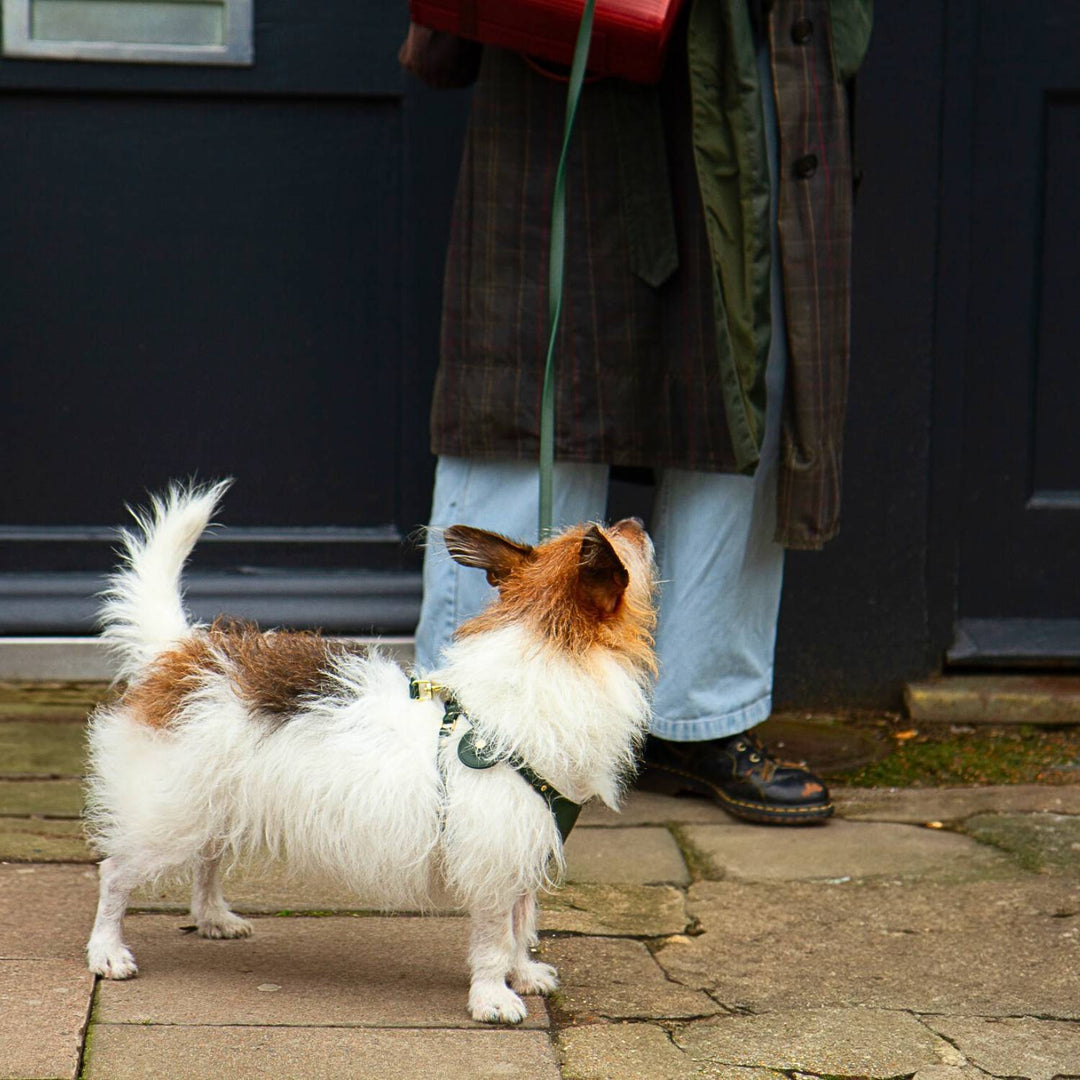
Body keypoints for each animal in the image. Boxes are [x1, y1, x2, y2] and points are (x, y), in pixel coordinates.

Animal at [82, 481, 656, 1019]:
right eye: (622, 545)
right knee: (116, 874)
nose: (635, 518)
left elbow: (521, 922)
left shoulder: (520, 848)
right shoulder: (493, 860)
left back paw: (212, 917)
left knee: (207, 858)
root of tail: (182, 653)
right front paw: (494, 995)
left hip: (213, 802)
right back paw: (107, 950)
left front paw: (523, 972)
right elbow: (496, 936)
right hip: (169, 813)